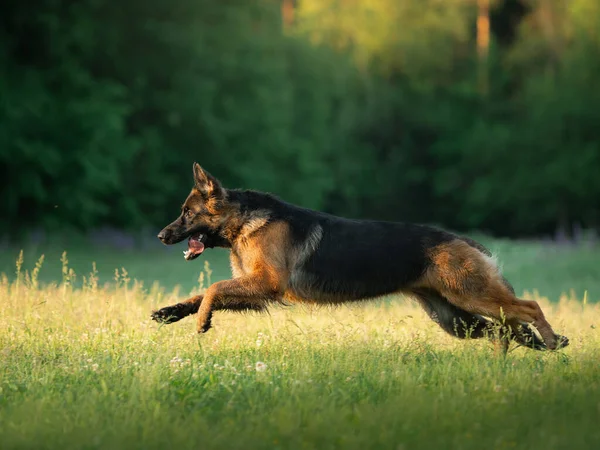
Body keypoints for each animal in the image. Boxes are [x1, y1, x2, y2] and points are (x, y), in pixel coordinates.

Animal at [154, 163, 568, 354]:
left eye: (187, 214)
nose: (161, 236)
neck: (243, 220)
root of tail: (466, 241)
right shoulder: (256, 292)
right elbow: (203, 294)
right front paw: (172, 312)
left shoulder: (265, 284)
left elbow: (212, 288)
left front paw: (203, 321)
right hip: (455, 318)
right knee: (504, 330)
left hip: (472, 297)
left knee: (529, 307)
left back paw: (549, 340)